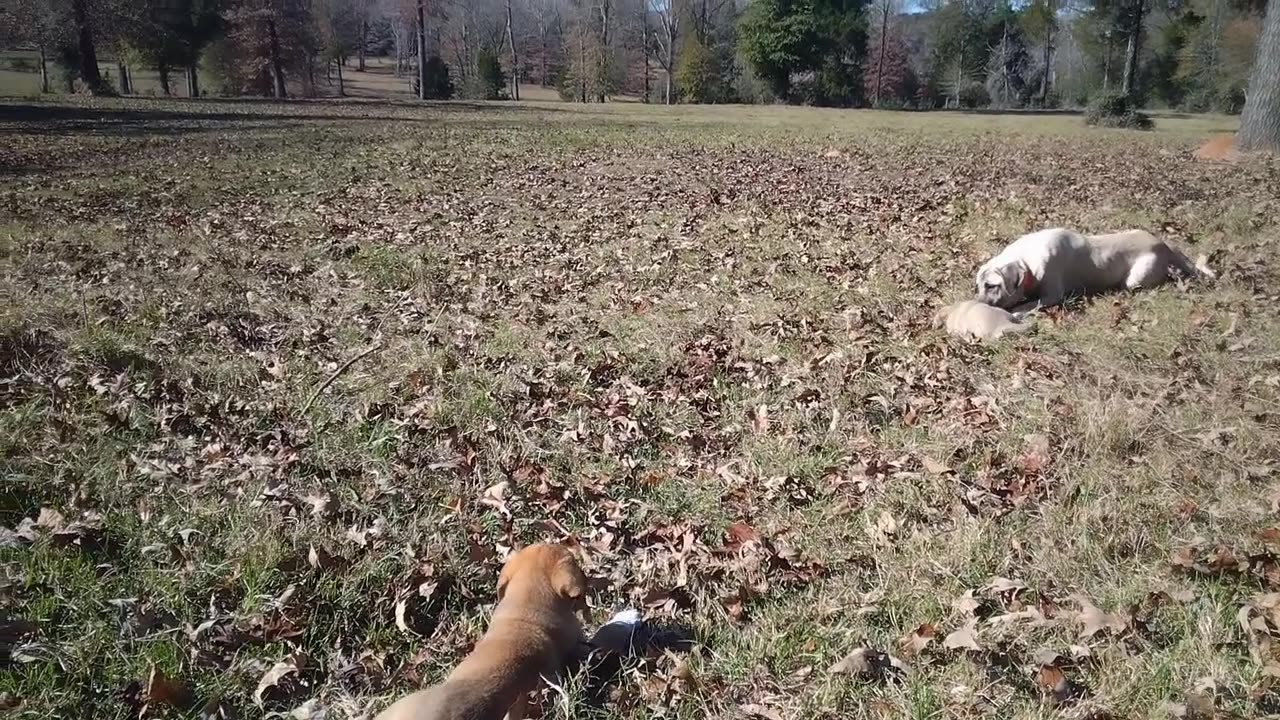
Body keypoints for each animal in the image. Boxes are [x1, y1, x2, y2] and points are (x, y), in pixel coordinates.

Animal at [977, 226, 1208, 308]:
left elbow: (1025, 306)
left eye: (991, 286)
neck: (1027, 262)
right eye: (978, 286)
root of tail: (1163, 244)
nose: (977, 303)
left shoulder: (1053, 296)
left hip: (1134, 280)